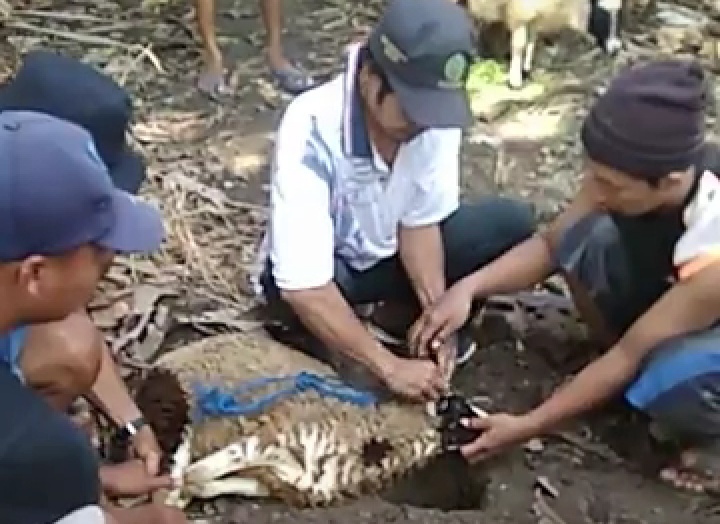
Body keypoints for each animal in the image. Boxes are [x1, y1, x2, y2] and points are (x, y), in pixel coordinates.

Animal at [134, 334, 484, 510]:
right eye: (460, 408)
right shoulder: (273, 434)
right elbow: (199, 473)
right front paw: (176, 493)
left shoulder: (282, 482)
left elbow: (208, 483)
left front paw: (182, 495)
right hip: (181, 400)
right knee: (183, 445)